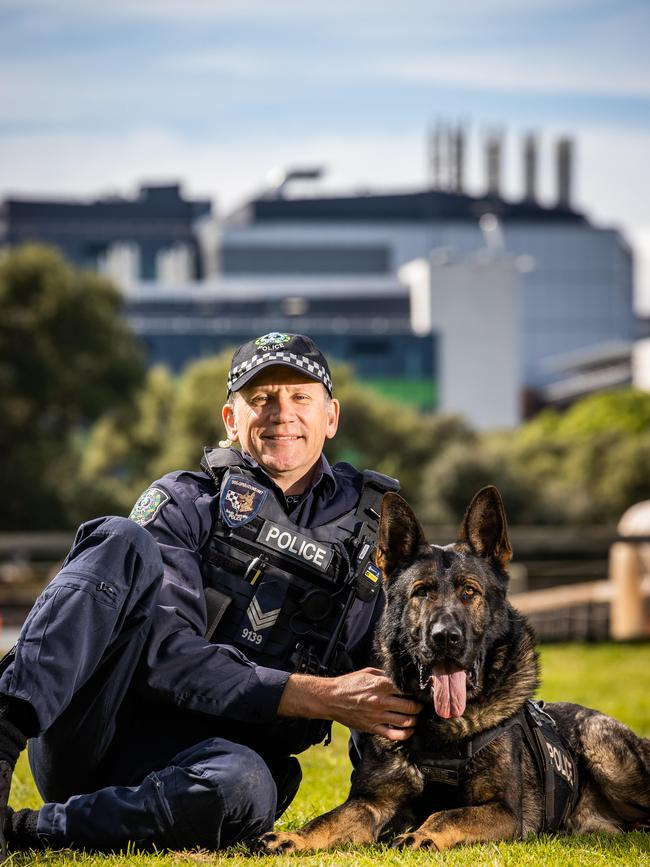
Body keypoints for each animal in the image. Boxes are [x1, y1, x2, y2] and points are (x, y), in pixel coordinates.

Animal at [258, 488, 648, 856]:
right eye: (421, 592)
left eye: (469, 592)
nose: (445, 636)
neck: (441, 730)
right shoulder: (372, 801)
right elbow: (327, 820)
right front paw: (294, 837)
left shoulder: (504, 810)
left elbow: (446, 814)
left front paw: (422, 835)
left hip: (606, 755)